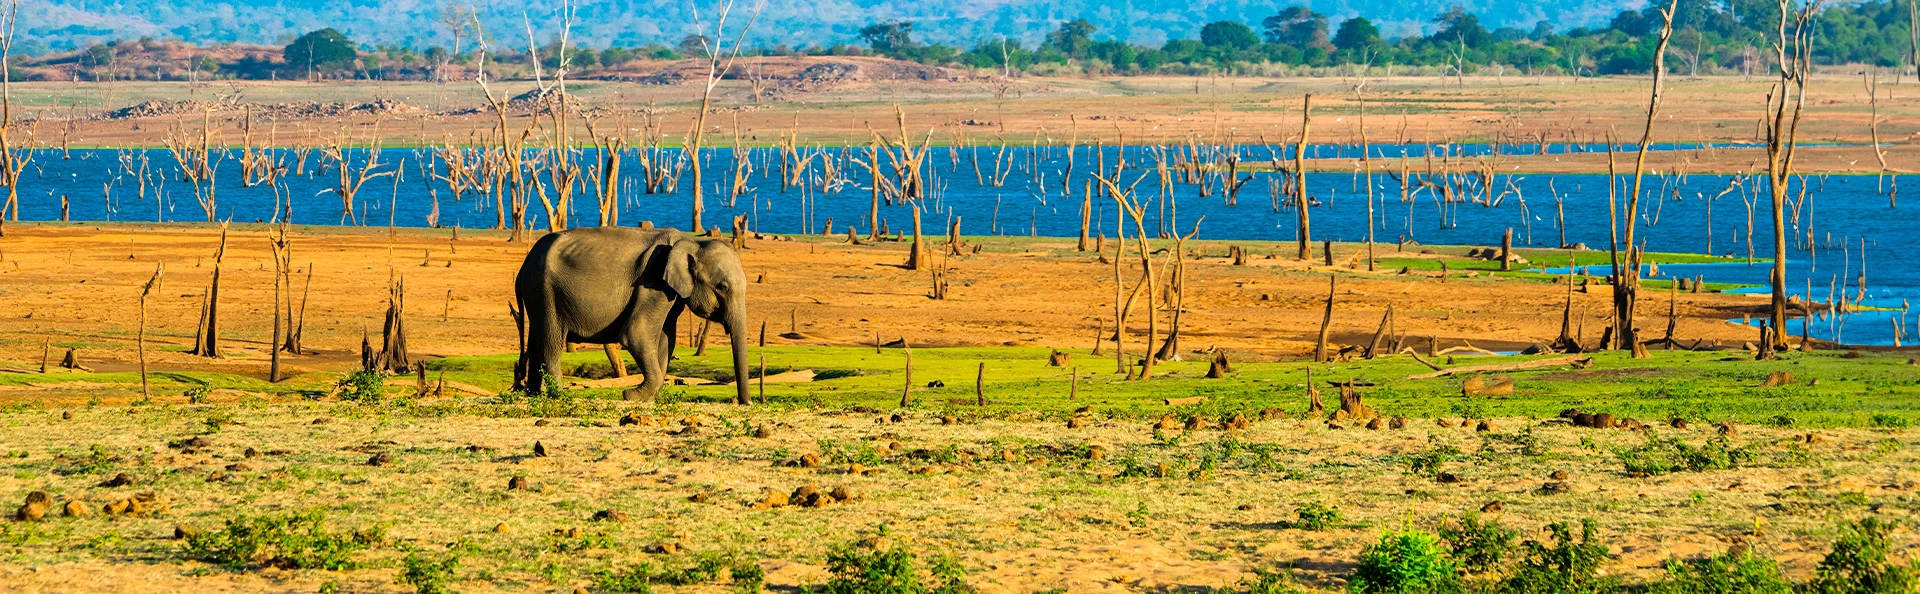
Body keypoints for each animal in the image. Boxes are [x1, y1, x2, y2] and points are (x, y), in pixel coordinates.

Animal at [513, 227, 750, 404]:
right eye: (722, 287)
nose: (744, 402)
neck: (691, 241)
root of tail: (524, 265)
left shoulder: (669, 293)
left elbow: (666, 339)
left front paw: (649, 398)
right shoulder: (652, 282)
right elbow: (636, 333)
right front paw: (632, 395)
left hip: (538, 295)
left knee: (536, 339)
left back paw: (534, 394)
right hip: (544, 290)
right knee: (551, 342)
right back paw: (558, 395)